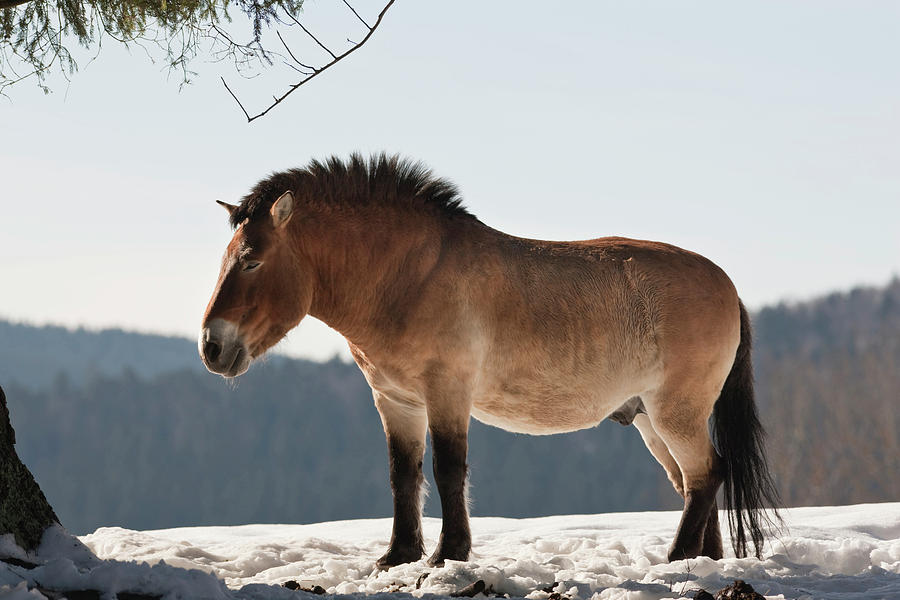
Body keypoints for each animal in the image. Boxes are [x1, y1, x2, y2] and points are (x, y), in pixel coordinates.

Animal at [200, 154, 776, 568]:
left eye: (250, 261)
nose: (211, 346)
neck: (410, 276)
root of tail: (729, 288)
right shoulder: (396, 401)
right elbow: (403, 475)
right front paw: (397, 557)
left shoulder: (447, 393)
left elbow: (448, 470)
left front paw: (447, 555)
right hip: (650, 420)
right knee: (695, 482)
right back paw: (704, 561)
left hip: (675, 412)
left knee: (707, 473)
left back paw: (676, 559)